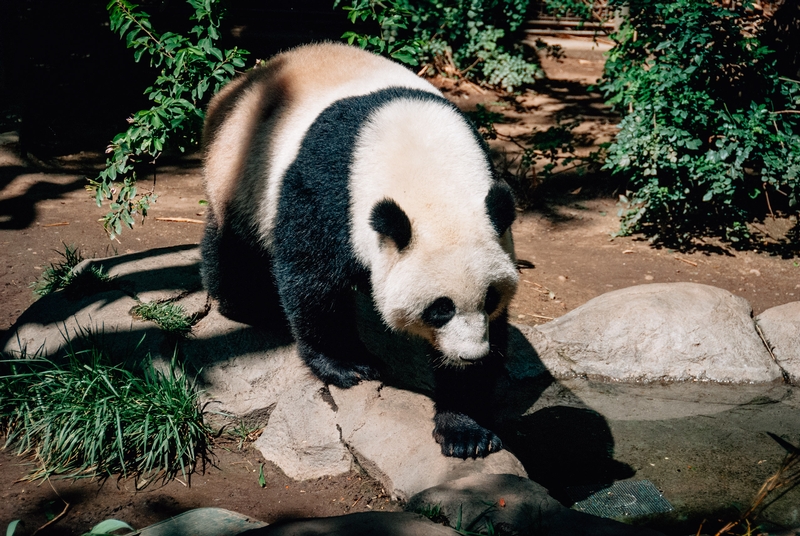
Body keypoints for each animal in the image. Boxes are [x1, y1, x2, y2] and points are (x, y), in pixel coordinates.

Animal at [202, 43, 520, 460]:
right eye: (440, 308)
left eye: (490, 298)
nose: (470, 355)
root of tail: (239, 84)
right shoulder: (330, 187)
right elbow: (312, 278)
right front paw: (348, 365)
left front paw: (465, 428)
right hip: (243, 166)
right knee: (236, 244)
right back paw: (244, 304)